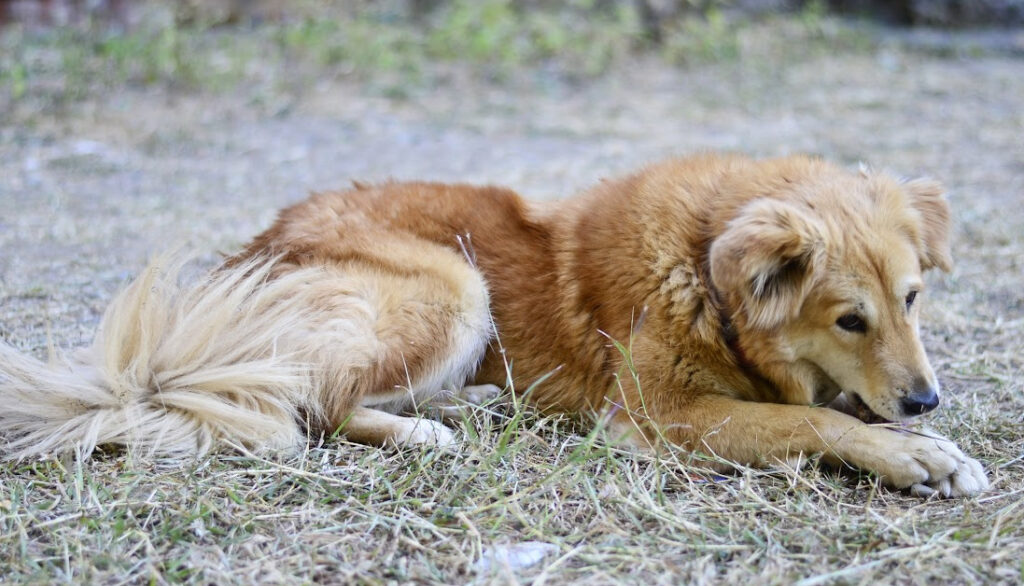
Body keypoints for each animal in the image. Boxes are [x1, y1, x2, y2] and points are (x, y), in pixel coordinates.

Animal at [0, 153, 991, 495]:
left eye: (912, 299)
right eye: (850, 317)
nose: (929, 402)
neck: (706, 273)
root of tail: (259, 246)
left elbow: (825, 406)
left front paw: (920, 439)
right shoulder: (657, 416)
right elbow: (810, 419)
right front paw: (917, 456)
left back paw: (470, 407)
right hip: (452, 285)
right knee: (312, 404)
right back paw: (433, 430)